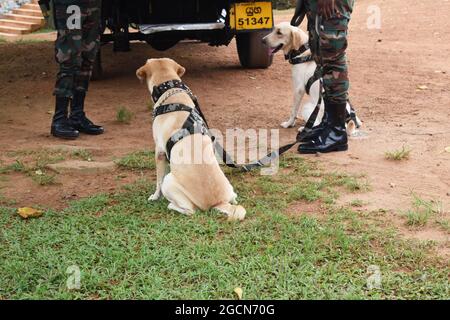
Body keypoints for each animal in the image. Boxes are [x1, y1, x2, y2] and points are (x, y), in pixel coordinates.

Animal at [136, 57, 246, 221]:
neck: (170, 92)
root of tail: (218, 203)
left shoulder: (159, 152)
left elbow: (158, 181)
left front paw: (155, 197)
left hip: (170, 182)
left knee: (190, 210)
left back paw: (171, 206)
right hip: (230, 191)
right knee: (234, 198)